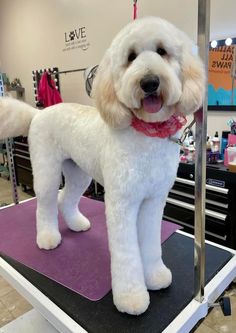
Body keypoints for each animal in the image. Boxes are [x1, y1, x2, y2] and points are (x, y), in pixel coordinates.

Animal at [0, 17, 205, 314]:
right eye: (131, 57)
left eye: (162, 51)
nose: (149, 82)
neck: (146, 135)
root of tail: (38, 113)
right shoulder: (122, 203)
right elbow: (127, 254)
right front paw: (131, 297)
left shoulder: (153, 201)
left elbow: (151, 243)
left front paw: (155, 276)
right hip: (47, 170)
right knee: (45, 205)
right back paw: (48, 238)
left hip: (78, 172)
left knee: (66, 199)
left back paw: (76, 224)